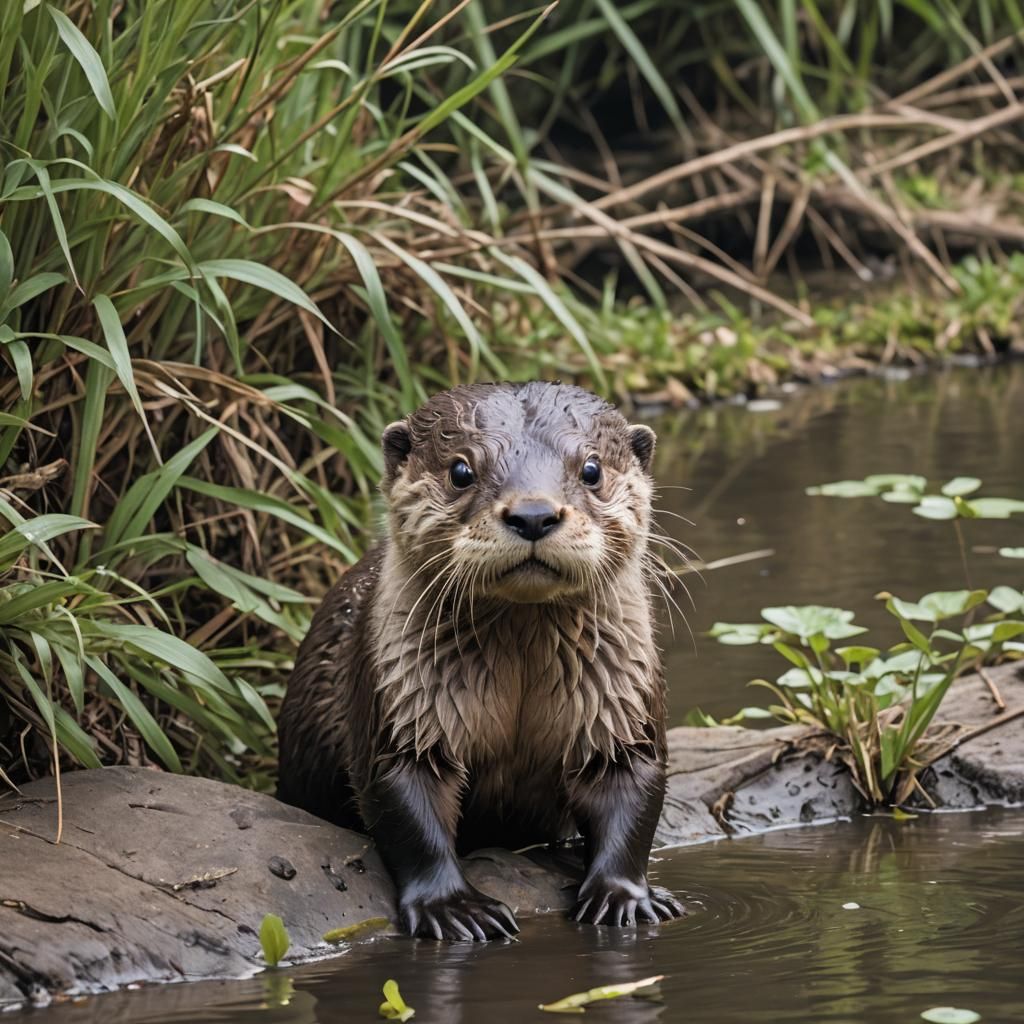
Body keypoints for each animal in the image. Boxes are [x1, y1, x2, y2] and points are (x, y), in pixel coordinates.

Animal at [277, 381, 683, 940]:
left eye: (592, 469)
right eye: (461, 471)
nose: (533, 514)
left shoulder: (622, 701)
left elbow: (632, 786)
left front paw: (624, 897)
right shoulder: (403, 701)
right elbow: (405, 797)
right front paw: (454, 907)